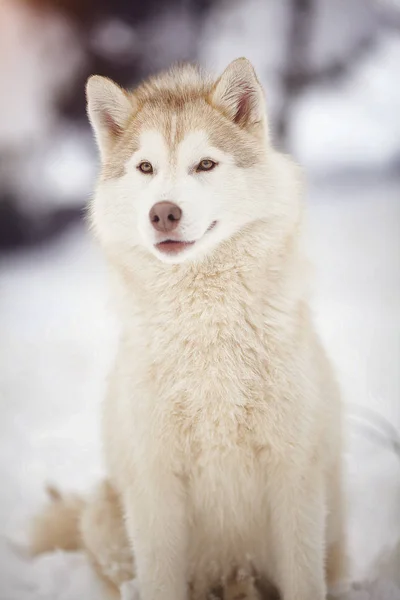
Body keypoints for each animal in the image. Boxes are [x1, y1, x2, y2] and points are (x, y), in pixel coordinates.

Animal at [30, 57, 346, 600]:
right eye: (146, 168)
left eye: (205, 165)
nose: (163, 213)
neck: (206, 330)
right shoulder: (155, 484)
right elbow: (160, 579)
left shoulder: (294, 475)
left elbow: (305, 580)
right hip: (104, 518)